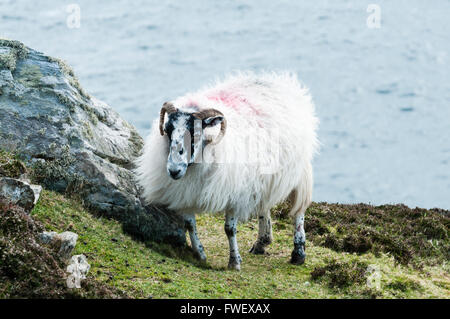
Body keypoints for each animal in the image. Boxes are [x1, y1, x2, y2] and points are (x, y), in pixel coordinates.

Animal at [135, 72, 318, 270]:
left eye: (195, 133)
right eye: (168, 130)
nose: (174, 170)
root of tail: (281, 83)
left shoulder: (233, 191)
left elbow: (229, 229)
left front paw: (234, 262)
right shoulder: (184, 193)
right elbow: (190, 225)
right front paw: (200, 254)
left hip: (298, 170)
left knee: (299, 210)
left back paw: (298, 253)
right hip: (261, 177)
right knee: (264, 205)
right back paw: (262, 242)